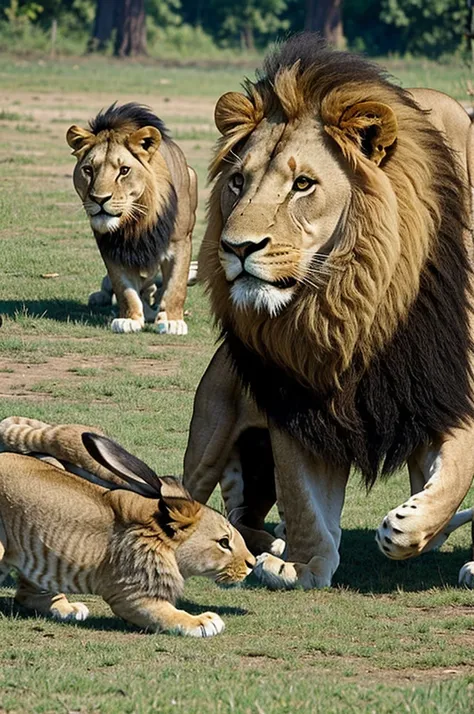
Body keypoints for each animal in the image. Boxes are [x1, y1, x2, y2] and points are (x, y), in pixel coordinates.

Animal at [66, 103, 196, 334]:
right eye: (88, 170)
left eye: (124, 170)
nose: (99, 199)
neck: (136, 221)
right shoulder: (111, 248)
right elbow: (124, 289)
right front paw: (130, 319)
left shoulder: (180, 240)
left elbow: (176, 285)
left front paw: (172, 321)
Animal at [183, 33, 474, 588]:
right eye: (237, 181)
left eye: (303, 185)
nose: (236, 247)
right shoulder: (297, 397)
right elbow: (304, 498)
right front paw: (302, 564)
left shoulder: (441, 386)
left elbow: (455, 473)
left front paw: (409, 529)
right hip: (210, 432)